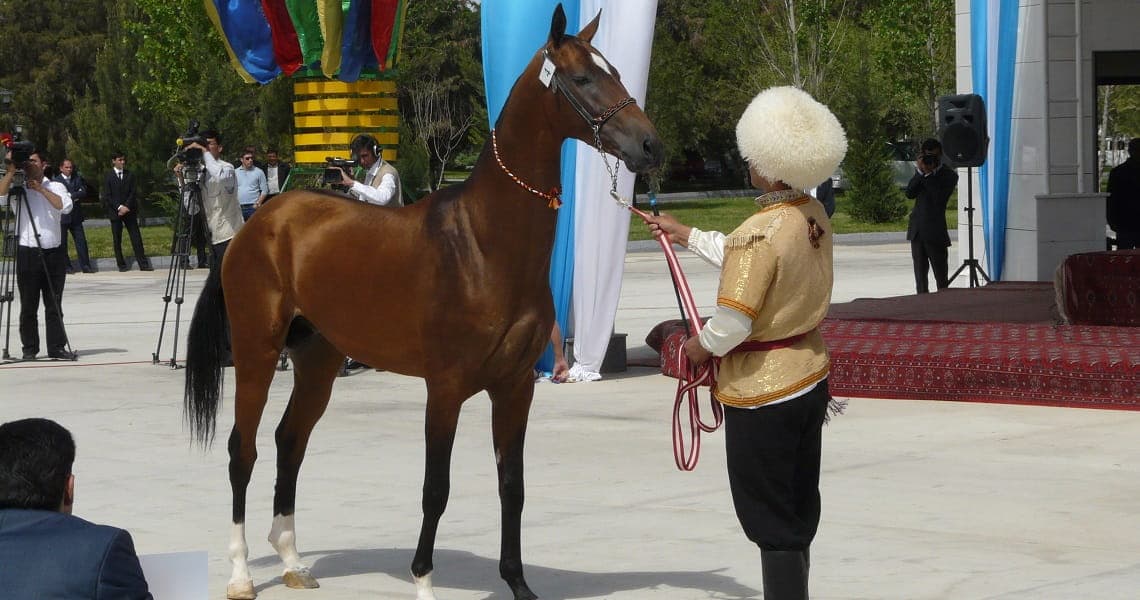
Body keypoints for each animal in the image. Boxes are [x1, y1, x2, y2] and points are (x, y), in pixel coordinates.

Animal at [183, 6, 663, 600]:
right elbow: (437, 488)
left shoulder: (515, 388)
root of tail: (258, 223)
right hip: (256, 352)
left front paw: (518, 584)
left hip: (318, 360)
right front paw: (423, 581)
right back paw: (241, 574)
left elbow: (513, 486)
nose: (649, 145)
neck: (482, 243)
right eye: (583, 78)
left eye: (615, 69)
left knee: (289, 441)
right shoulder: (446, 388)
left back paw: (293, 562)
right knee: (242, 450)